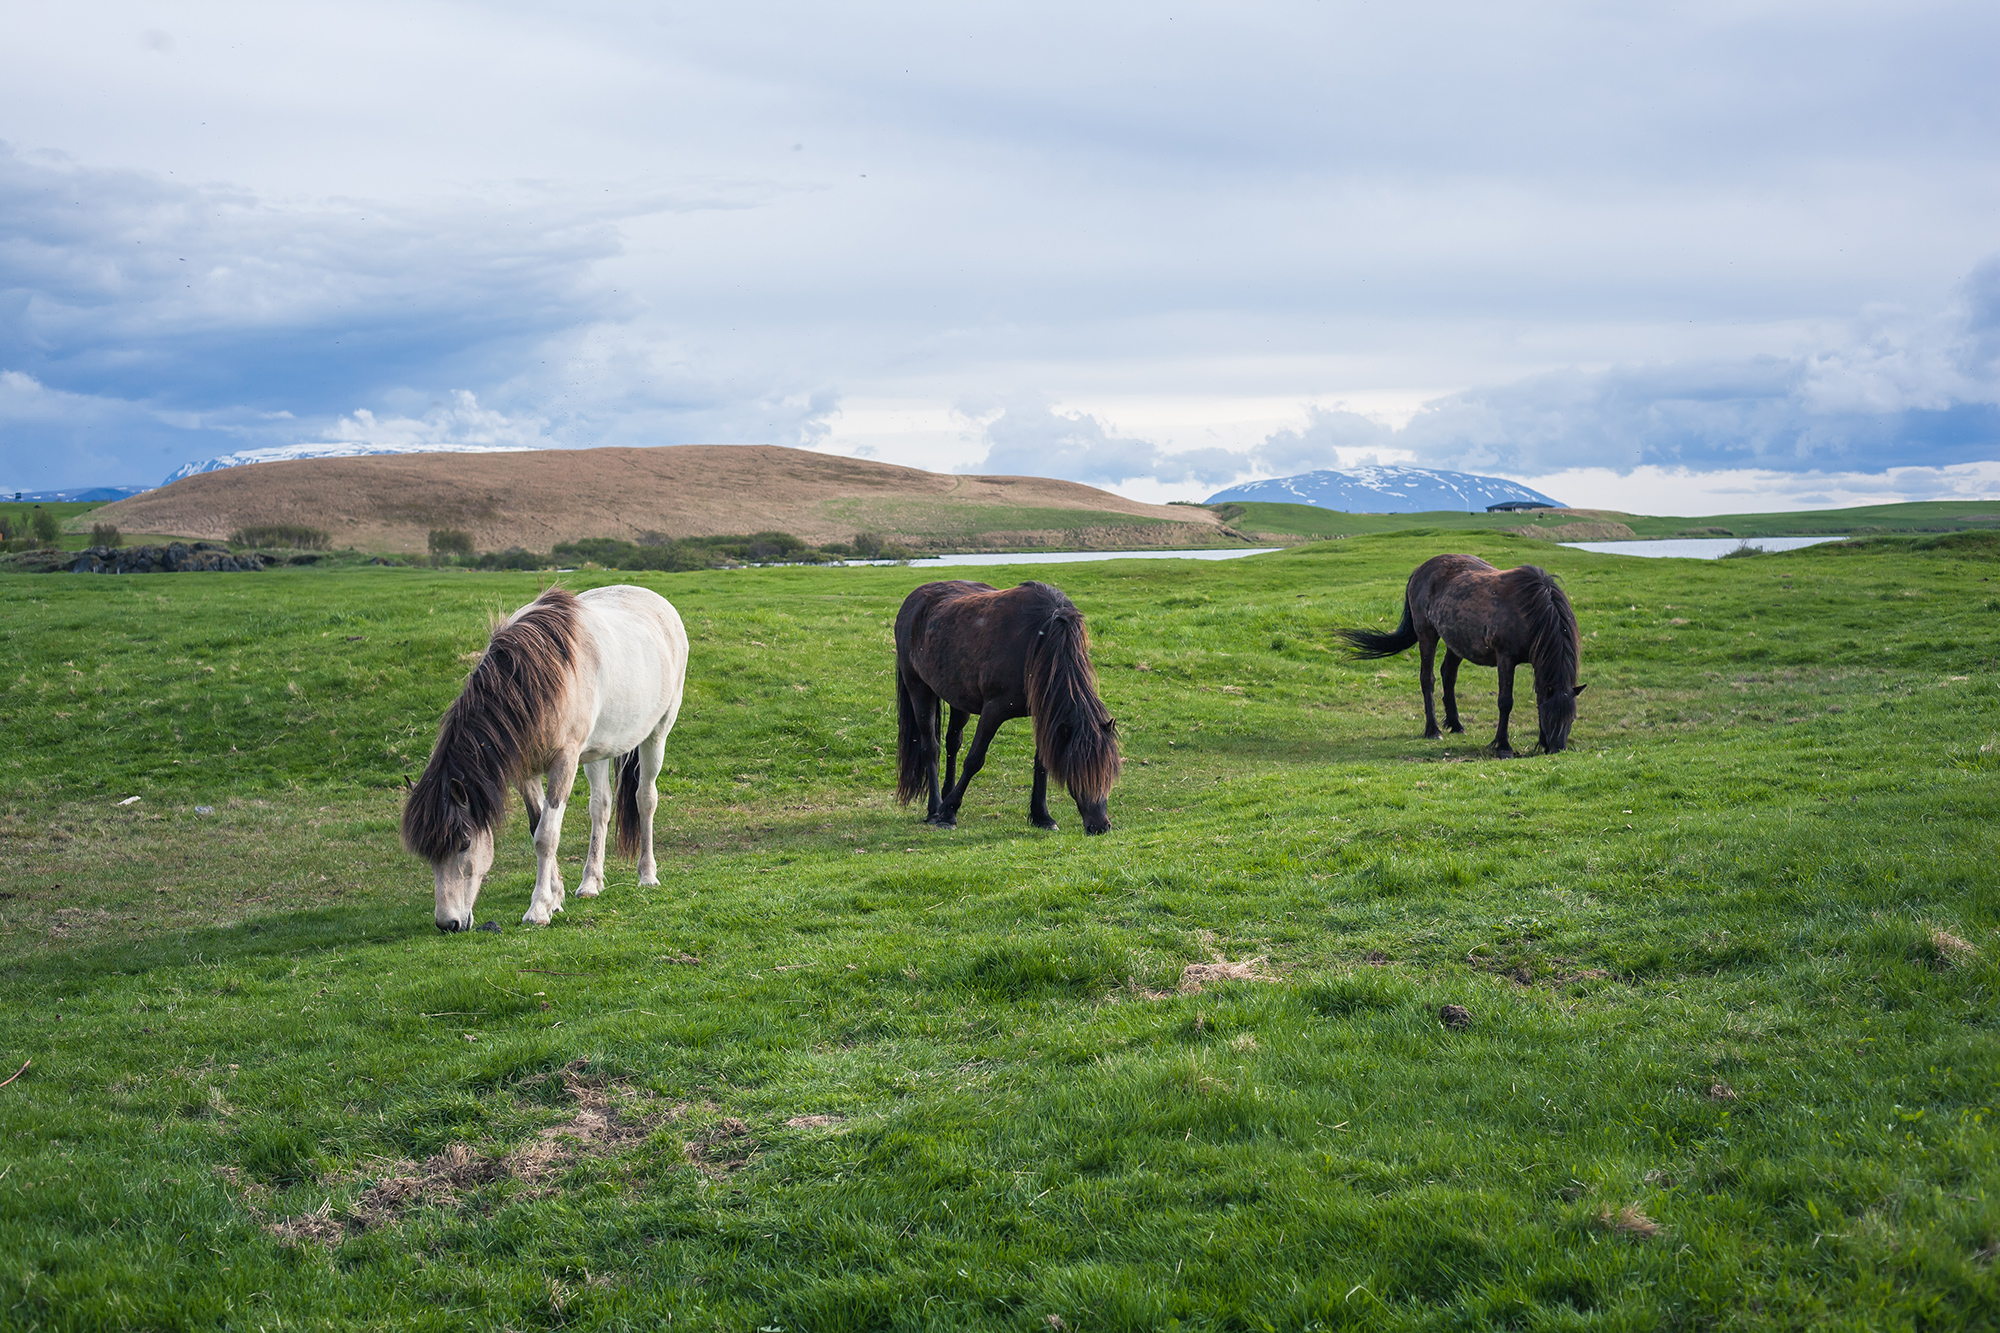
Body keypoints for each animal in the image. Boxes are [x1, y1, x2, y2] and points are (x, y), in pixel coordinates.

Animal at [402, 588, 692, 928]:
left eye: (464, 844)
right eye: (428, 853)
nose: (448, 924)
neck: (537, 680)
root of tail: (657, 601)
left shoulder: (564, 763)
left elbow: (547, 836)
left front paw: (539, 908)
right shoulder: (526, 771)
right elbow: (536, 825)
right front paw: (556, 897)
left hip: (657, 734)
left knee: (645, 798)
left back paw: (647, 875)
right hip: (599, 750)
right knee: (601, 807)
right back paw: (590, 882)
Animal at [896, 580, 1120, 832]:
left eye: (1109, 773)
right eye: (1077, 772)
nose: (1100, 826)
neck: (1040, 639)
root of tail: (913, 600)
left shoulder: (1043, 714)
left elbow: (1042, 763)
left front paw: (1042, 816)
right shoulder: (993, 710)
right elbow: (974, 760)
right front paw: (949, 812)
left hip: (957, 698)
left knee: (952, 742)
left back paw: (945, 795)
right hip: (918, 689)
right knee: (930, 747)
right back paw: (936, 808)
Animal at [1336, 548, 1584, 752]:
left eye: (1572, 718)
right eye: (1551, 717)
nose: (1557, 749)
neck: (1530, 609)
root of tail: (1420, 570)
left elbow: (1540, 695)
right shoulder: (1506, 658)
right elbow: (1505, 701)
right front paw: (1502, 745)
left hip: (1456, 642)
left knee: (1448, 675)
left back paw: (1455, 724)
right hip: (1427, 635)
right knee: (1428, 679)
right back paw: (1433, 730)